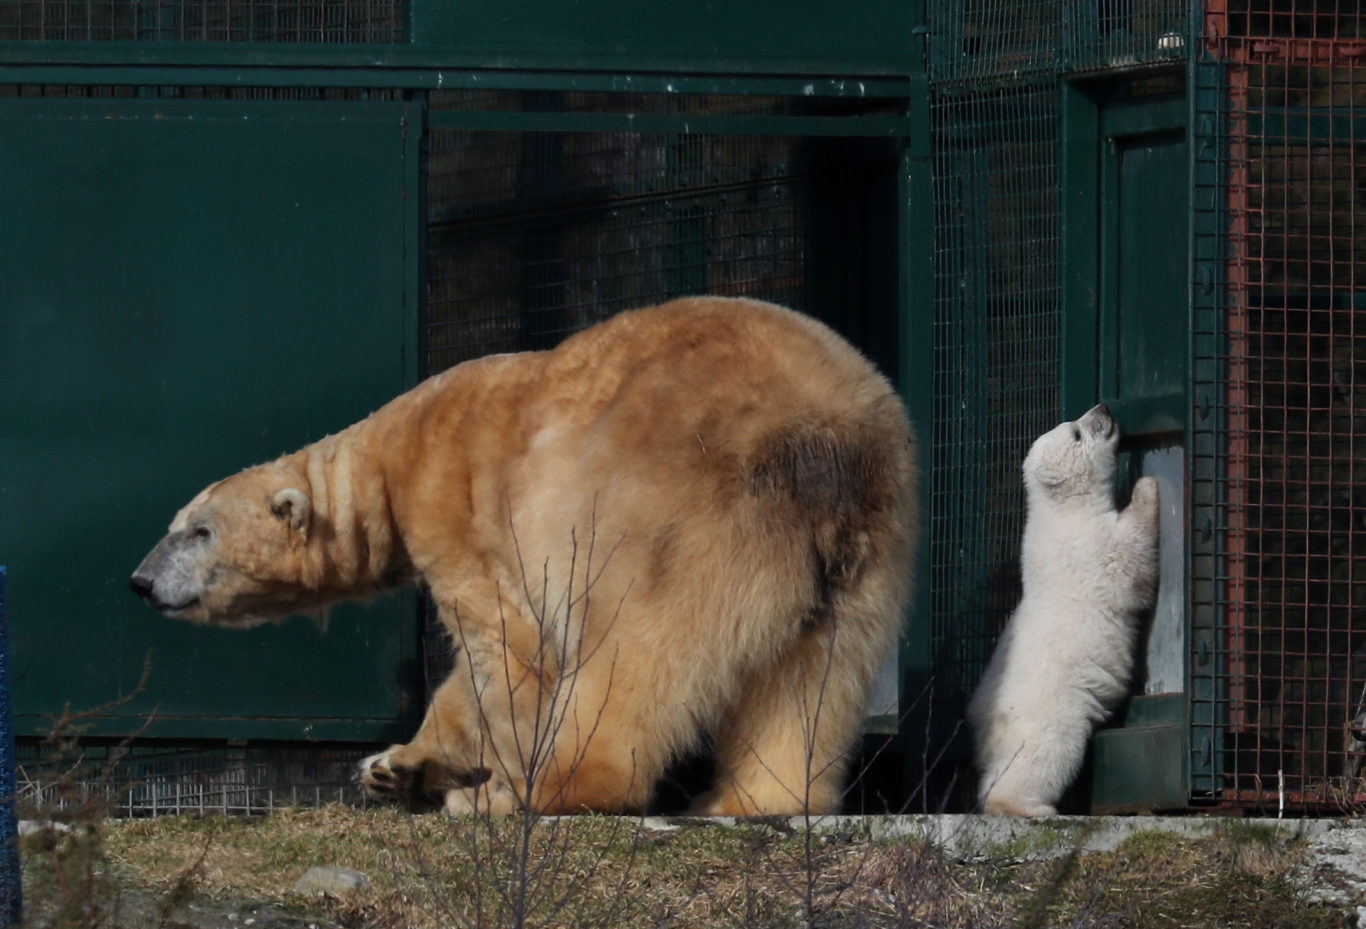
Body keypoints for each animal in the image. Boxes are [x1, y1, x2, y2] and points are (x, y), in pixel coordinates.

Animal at [130, 295, 917, 814]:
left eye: (198, 531)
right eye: (177, 524)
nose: (140, 580)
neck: (390, 453)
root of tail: (822, 447)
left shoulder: (455, 505)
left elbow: (507, 649)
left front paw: (480, 784)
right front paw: (395, 765)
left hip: (675, 513)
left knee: (632, 652)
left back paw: (543, 788)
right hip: (868, 550)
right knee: (811, 677)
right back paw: (757, 798)